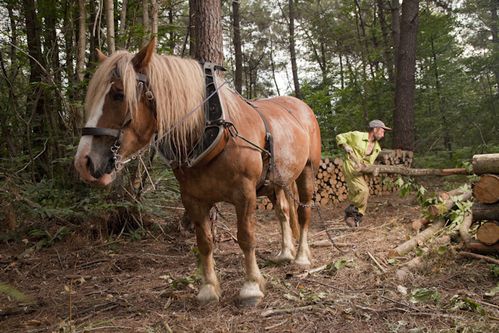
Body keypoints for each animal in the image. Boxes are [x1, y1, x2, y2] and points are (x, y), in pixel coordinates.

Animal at [74, 39, 324, 306]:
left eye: (119, 95)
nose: (84, 162)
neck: (216, 132)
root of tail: (301, 106)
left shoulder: (245, 194)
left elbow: (246, 237)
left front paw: (251, 287)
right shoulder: (192, 198)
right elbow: (204, 242)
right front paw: (209, 288)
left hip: (307, 171)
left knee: (303, 212)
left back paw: (301, 257)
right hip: (275, 182)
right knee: (283, 213)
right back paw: (285, 253)